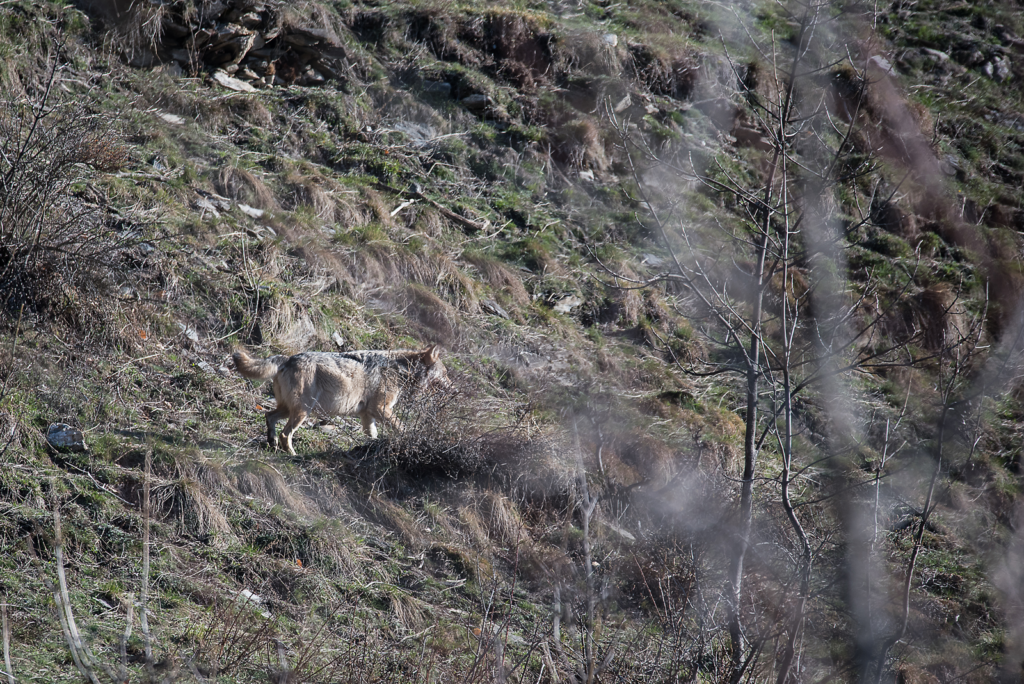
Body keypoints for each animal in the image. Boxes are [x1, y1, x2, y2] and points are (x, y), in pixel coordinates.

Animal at [235, 348, 452, 454]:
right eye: (446, 373)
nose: (453, 388)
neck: (401, 371)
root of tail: (288, 358)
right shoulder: (381, 409)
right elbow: (402, 428)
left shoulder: (367, 415)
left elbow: (372, 435)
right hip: (303, 412)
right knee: (285, 434)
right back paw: (292, 454)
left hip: (289, 409)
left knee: (269, 416)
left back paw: (271, 444)